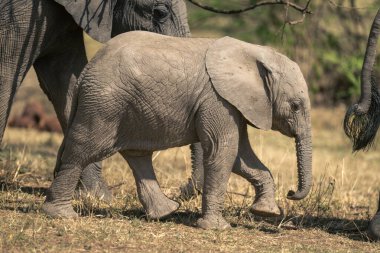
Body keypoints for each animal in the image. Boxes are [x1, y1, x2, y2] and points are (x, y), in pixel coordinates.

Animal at [43, 31, 312, 229]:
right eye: (295, 106)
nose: (291, 192)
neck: (254, 52)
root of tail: (88, 69)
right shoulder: (217, 100)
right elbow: (223, 152)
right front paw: (216, 228)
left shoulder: (234, 103)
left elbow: (240, 156)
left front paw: (266, 212)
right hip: (104, 103)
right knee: (83, 150)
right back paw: (61, 215)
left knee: (136, 155)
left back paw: (165, 213)